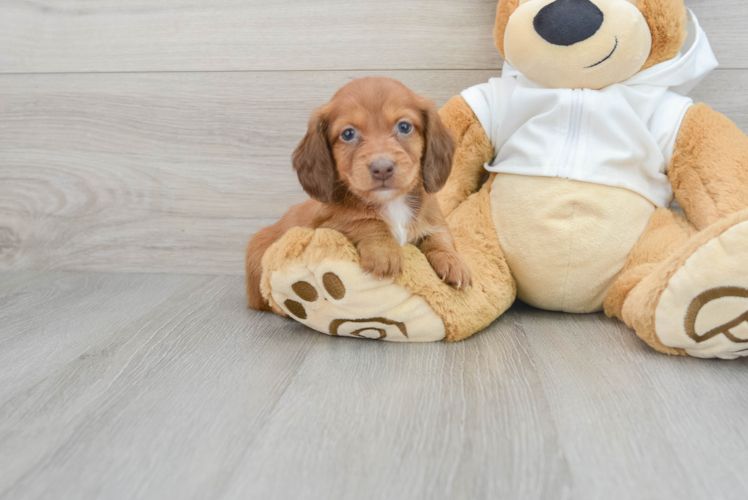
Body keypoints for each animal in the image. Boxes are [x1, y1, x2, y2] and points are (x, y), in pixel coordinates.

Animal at [251, 77, 474, 312]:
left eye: (404, 127)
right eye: (348, 134)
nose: (382, 168)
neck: (392, 203)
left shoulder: (432, 219)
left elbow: (440, 237)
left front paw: (454, 262)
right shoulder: (328, 223)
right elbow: (366, 221)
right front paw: (385, 251)